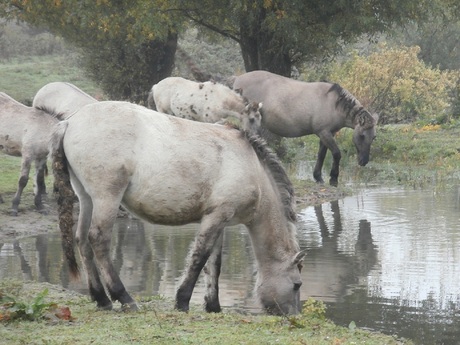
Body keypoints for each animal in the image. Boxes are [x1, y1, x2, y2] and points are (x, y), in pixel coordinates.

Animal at [50, 100, 304, 314]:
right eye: (297, 284)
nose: (294, 316)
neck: (250, 166)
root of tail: (70, 122)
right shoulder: (216, 218)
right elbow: (200, 257)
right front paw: (182, 301)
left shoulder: (220, 219)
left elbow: (214, 264)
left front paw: (213, 306)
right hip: (107, 198)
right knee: (98, 240)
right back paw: (125, 299)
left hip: (87, 199)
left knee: (82, 241)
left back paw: (101, 299)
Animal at [234, 69, 378, 185]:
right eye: (362, 135)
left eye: (373, 137)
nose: (364, 161)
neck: (333, 104)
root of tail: (238, 79)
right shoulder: (324, 133)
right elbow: (336, 154)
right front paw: (333, 178)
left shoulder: (326, 134)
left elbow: (321, 155)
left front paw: (318, 177)